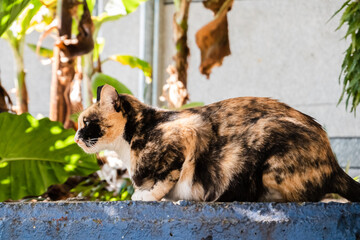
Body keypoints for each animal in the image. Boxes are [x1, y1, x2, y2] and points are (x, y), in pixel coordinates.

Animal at [74, 85, 360, 202]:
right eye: (79, 123)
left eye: (86, 122)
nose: (76, 137)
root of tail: (333, 163)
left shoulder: (189, 131)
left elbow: (168, 176)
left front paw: (147, 195)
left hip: (266, 140)